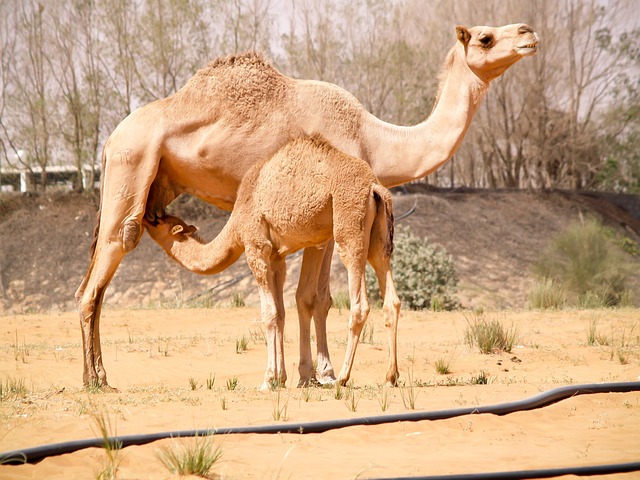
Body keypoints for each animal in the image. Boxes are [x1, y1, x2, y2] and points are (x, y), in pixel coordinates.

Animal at [144, 135, 400, 388]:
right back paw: (391, 376)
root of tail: (374, 187)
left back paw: (343, 378)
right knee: (390, 296)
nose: (147, 215)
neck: (236, 223)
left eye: (159, 222)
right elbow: (280, 313)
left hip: (349, 225)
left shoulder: (256, 248)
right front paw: (281, 377)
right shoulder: (277, 257)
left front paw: (268, 379)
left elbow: (268, 313)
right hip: (377, 238)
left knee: (359, 301)